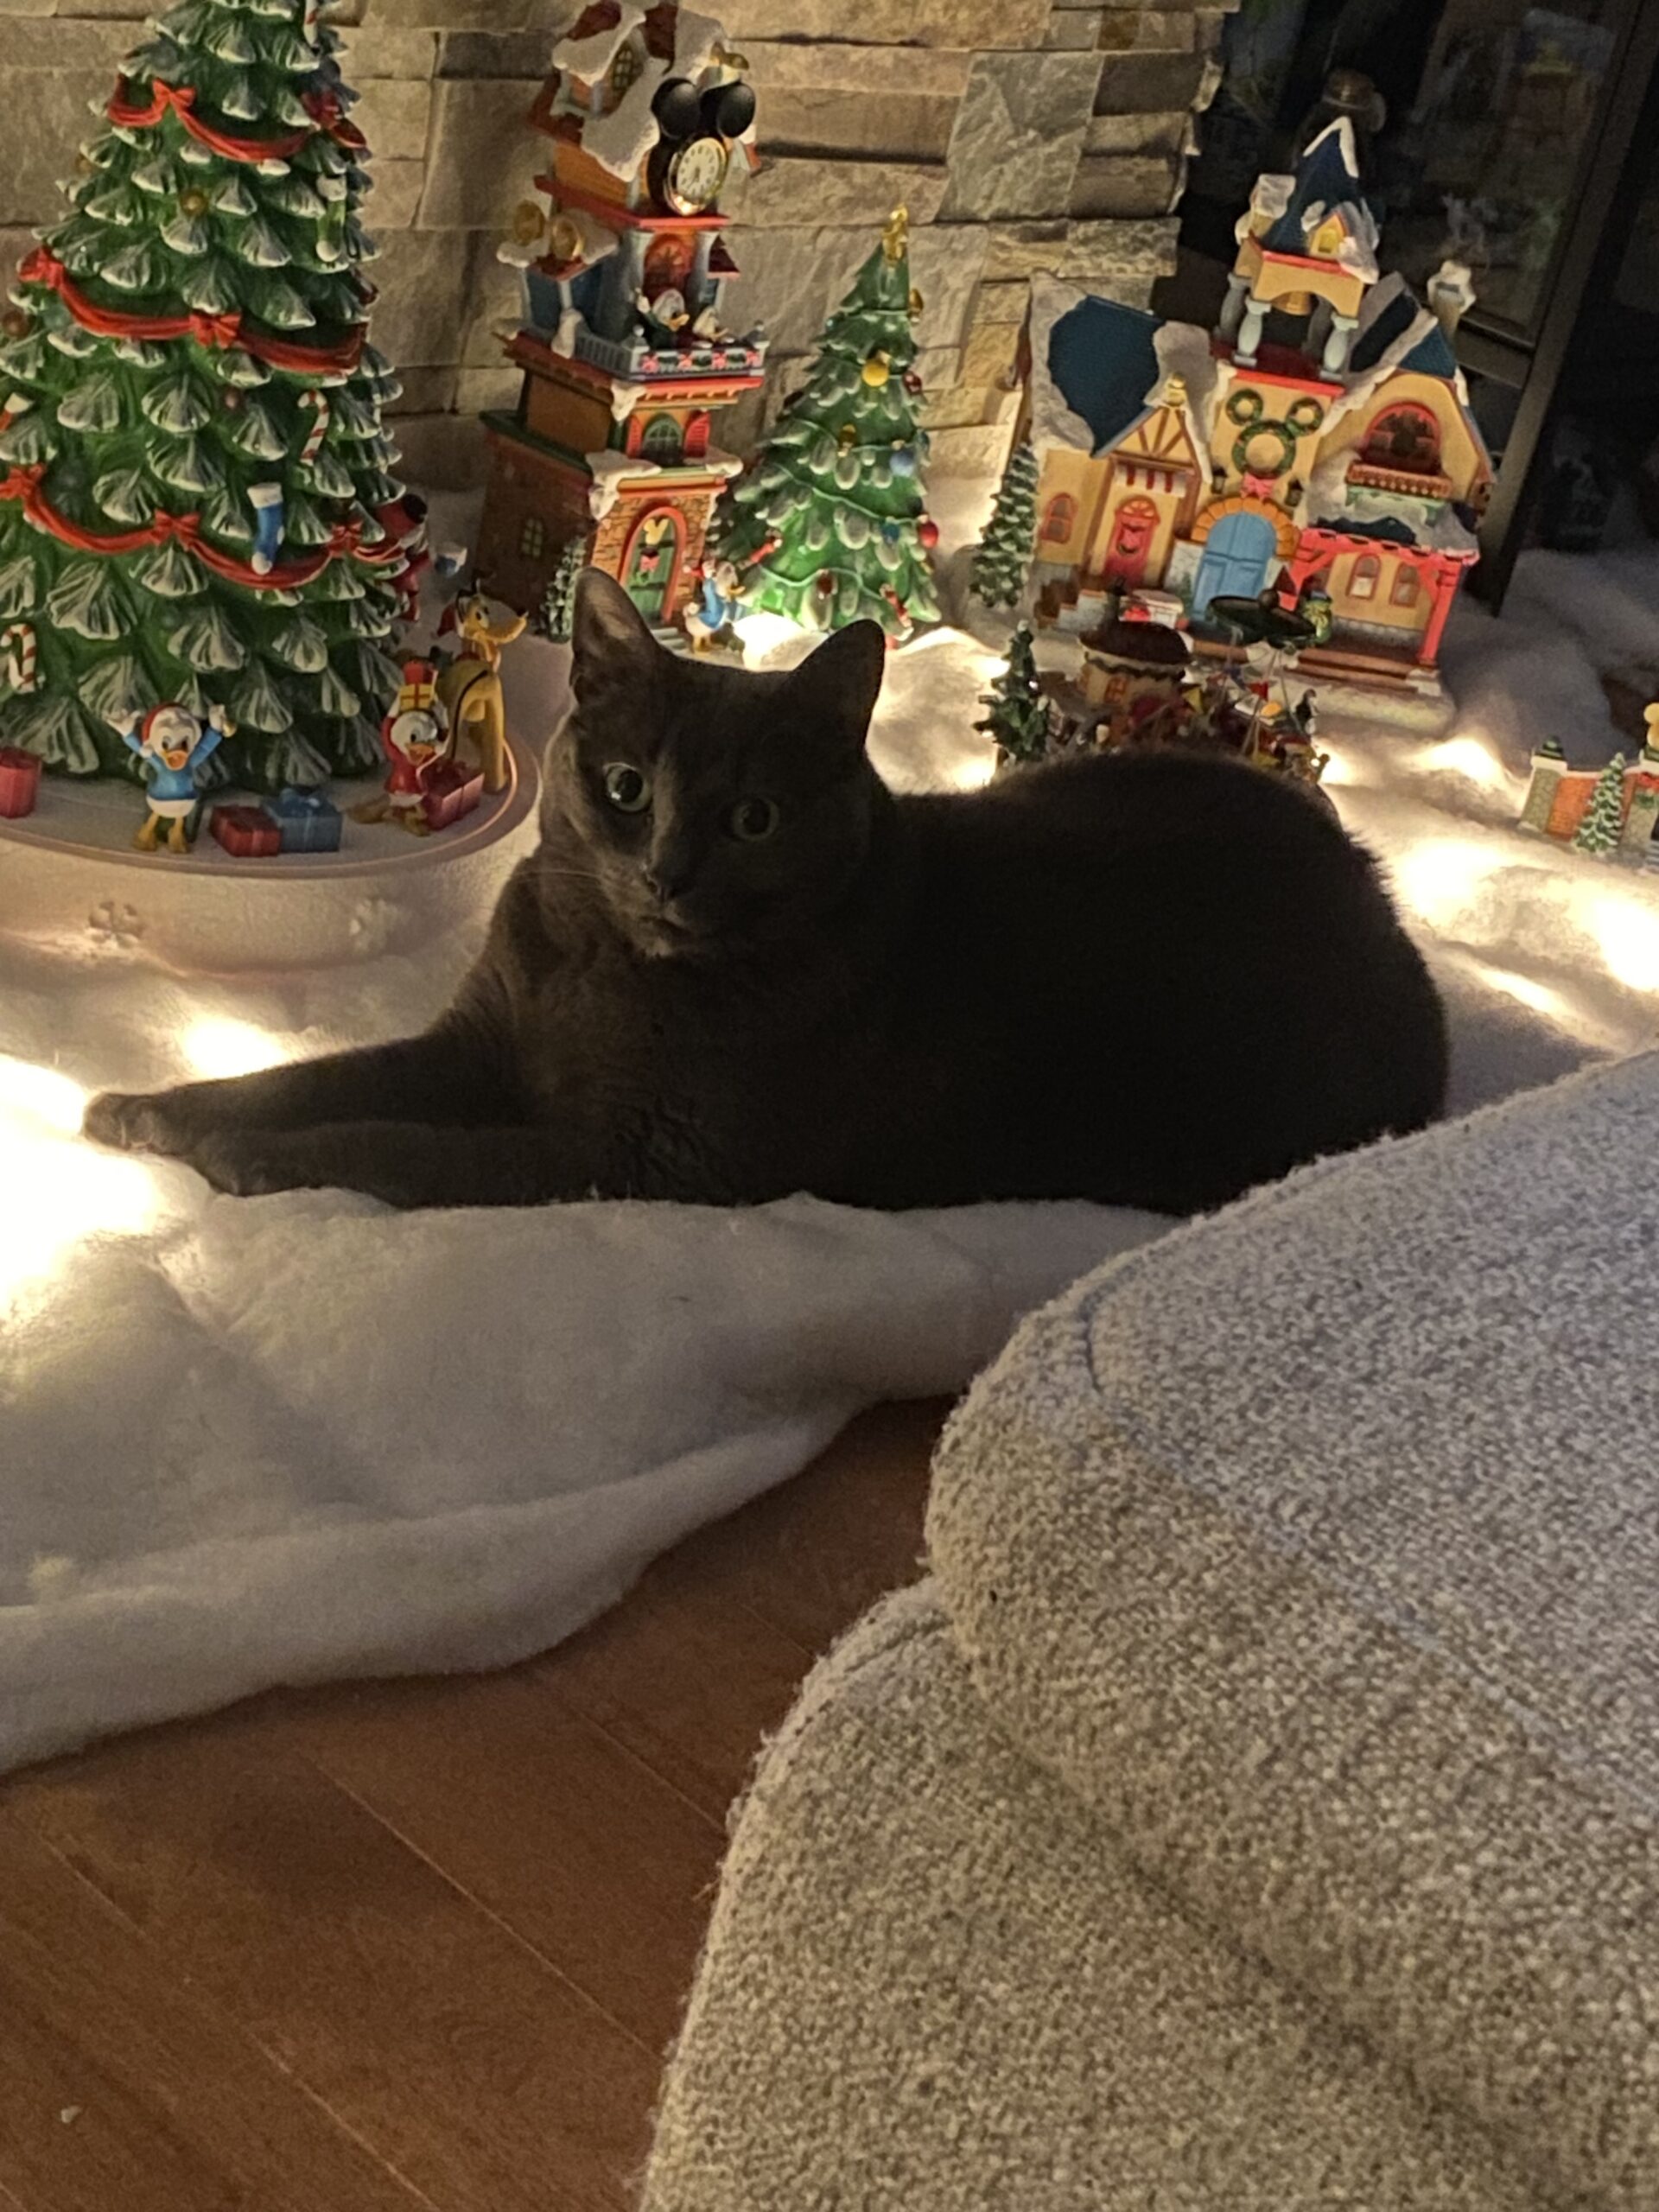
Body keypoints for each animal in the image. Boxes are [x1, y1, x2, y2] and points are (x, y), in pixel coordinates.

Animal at [85, 569, 1448, 1216]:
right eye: (626, 785)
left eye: (754, 818)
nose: (665, 869)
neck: (598, 970)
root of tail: (1378, 893)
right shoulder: (475, 1040)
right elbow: (313, 1077)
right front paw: (148, 1113)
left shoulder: (640, 1160)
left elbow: (398, 1146)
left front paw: (249, 1164)